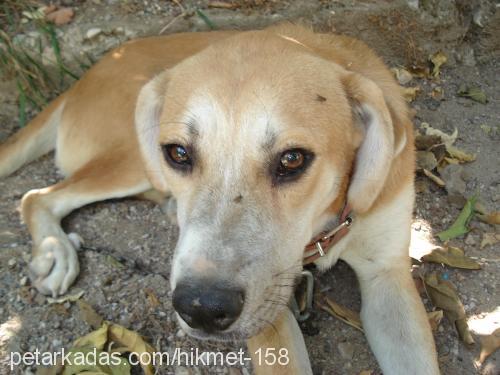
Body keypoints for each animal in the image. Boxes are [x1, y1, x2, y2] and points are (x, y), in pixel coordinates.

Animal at [0, 25, 438, 374]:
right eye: (178, 153)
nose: (201, 308)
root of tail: (85, 76)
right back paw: (54, 251)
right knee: (37, 196)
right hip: (131, 159)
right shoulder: (271, 314)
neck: (325, 227)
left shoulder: (387, 274)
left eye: (292, 159)